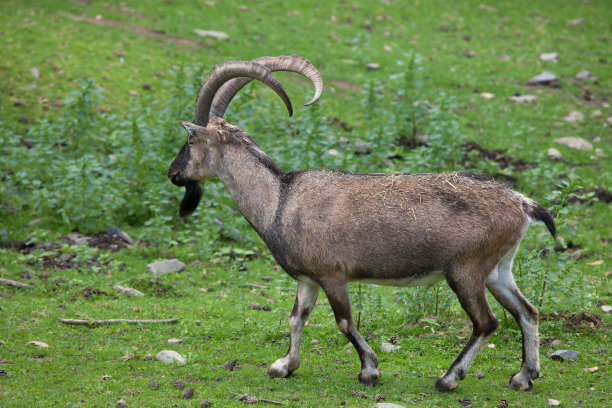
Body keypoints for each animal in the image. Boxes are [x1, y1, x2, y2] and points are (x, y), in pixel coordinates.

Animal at [166, 55, 556, 390]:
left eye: (190, 139)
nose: (172, 174)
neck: (280, 200)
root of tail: (522, 204)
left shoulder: (332, 275)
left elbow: (344, 321)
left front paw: (369, 370)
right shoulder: (308, 279)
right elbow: (296, 317)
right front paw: (283, 366)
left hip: (466, 271)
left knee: (486, 322)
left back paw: (448, 378)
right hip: (498, 270)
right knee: (528, 312)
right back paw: (523, 377)